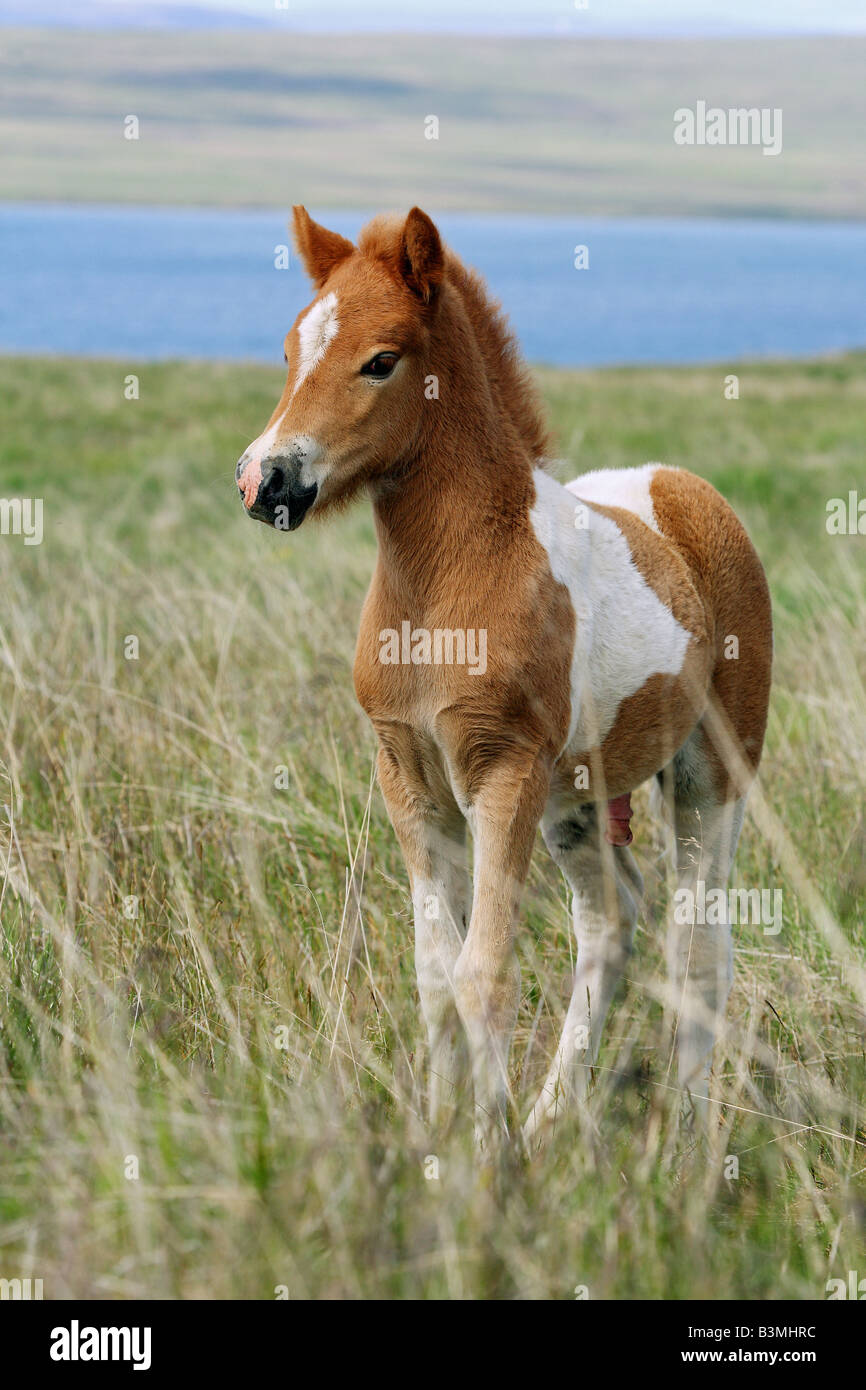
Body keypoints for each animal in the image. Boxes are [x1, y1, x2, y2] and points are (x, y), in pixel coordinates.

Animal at [235, 206, 773, 1151]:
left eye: (381, 359)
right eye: (292, 347)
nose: (264, 480)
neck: (450, 580)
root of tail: (682, 486)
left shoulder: (503, 770)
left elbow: (482, 973)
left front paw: (490, 1158)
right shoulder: (409, 776)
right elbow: (434, 978)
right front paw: (442, 1141)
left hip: (712, 776)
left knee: (701, 948)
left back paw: (685, 1148)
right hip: (577, 800)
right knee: (612, 923)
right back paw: (560, 1118)